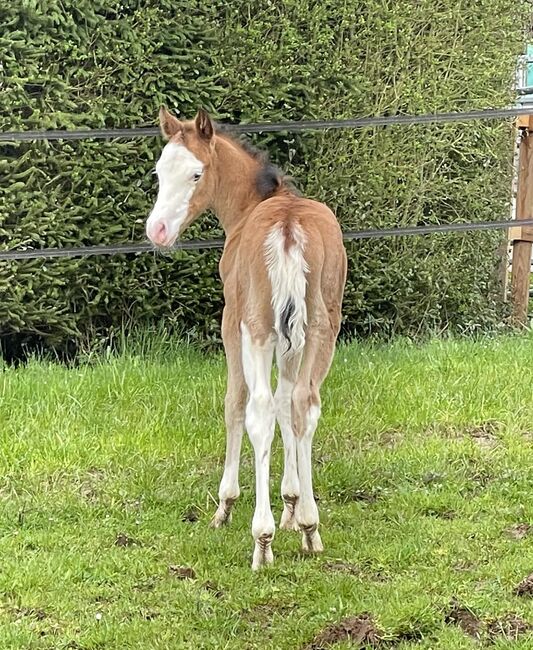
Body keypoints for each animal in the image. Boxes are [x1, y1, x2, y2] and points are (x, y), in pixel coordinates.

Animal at [145, 107, 348, 568]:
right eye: (160, 171)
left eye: (197, 174)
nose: (158, 230)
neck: (254, 205)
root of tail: (289, 228)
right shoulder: (292, 338)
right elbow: (287, 403)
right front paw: (291, 505)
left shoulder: (232, 320)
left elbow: (236, 403)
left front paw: (225, 506)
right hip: (321, 327)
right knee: (304, 403)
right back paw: (310, 527)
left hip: (255, 327)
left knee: (258, 410)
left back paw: (262, 540)